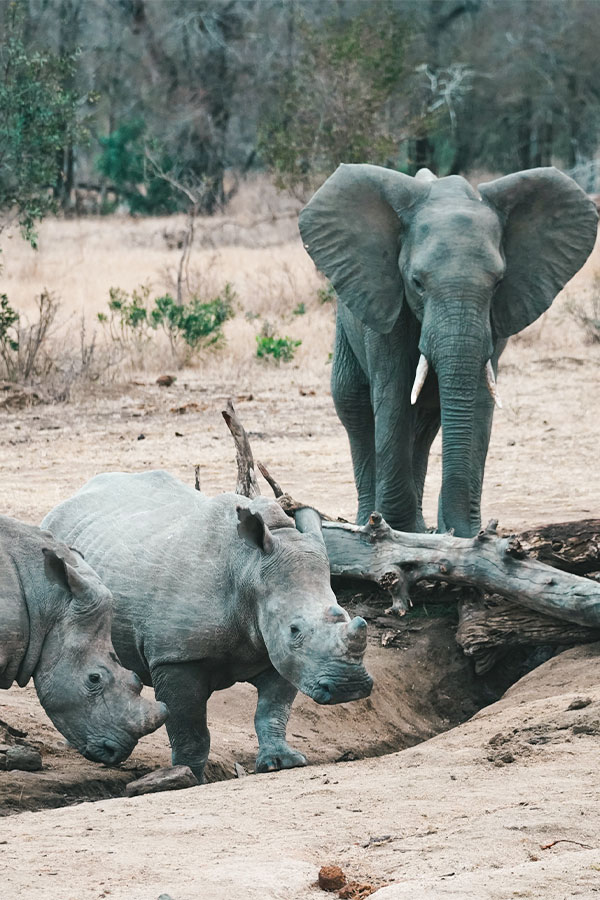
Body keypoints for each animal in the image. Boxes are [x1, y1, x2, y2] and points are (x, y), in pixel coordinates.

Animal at [43, 472, 370, 780]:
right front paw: (187, 775)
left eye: (344, 614)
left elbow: (272, 710)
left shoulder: (280, 653)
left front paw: (281, 763)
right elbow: (190, 727)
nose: (349, 687)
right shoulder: (176, 656)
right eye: (295, 630)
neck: (249, 570)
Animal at [298, 165, 596, 536]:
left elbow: (480, 401)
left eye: (498, 282)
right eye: (417, 283)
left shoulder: (496, 316)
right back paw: (371, 521)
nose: (456, 530)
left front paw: (463, 536)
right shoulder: (386, 299)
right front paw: (395, 530)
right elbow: (394, 395)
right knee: (353, 405)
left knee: (425, 425)